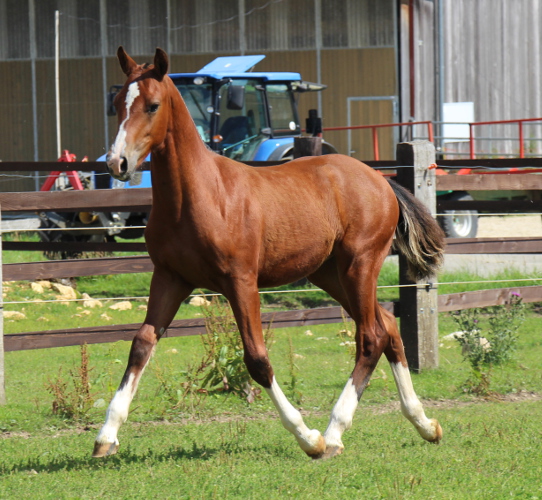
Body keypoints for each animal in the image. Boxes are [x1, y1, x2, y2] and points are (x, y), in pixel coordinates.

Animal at [94, 47, 446, 460]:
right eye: (117, 103)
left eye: (152, 105)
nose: (116, 163)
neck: (200, 195)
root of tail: (382, 181)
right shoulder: (170, 277)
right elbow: (141, 344)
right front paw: (106, 435)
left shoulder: (241, 281)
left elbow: (258, 360)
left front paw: (307, 437)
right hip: (330, 274)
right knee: (388, 328)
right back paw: (423, 423)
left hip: (360, 265)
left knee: (371, 336)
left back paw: (334, 432)